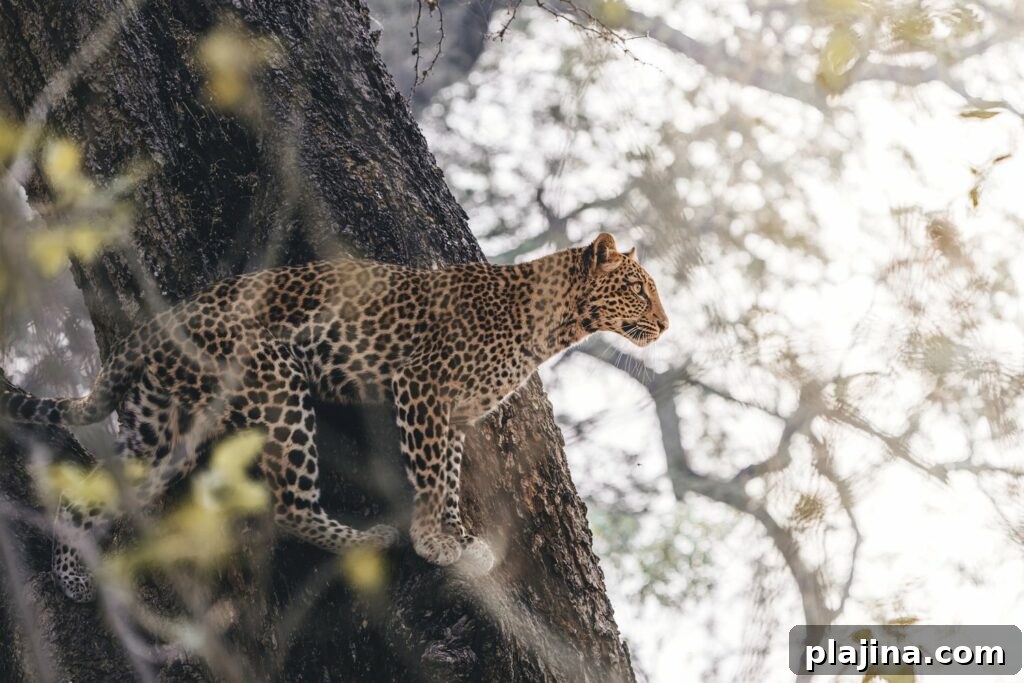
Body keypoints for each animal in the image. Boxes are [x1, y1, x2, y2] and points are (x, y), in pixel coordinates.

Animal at [0, 232, 668, 601]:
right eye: (639, 288)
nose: (664, 325)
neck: (554, 325)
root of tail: (156, 324)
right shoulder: (422, 388)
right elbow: (431, 478)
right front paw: (434, 544)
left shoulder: (451, 411)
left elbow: (450, 478)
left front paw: (458, 540)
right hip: (274, 381)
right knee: (287, 504)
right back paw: (361, 539)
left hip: (165, 428)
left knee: (96, 489)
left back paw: (71, 575)